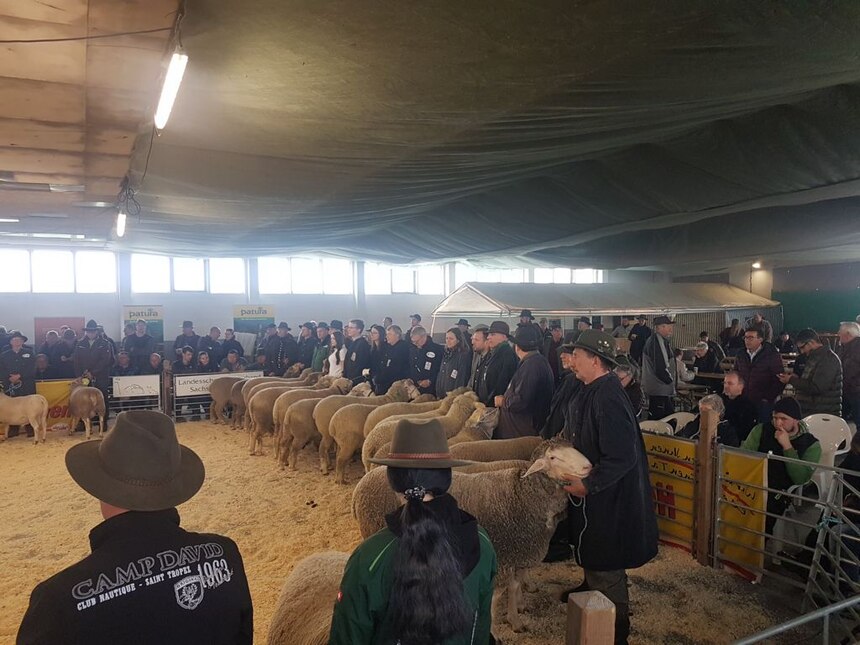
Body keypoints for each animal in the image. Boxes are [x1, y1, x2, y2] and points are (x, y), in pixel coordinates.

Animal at [352, 438, 596, 628]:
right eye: (553, 458)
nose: (588, 467)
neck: (522, 495)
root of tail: (362, 484)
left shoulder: (518, 553)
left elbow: (514, 587)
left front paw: (516, 618)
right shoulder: (503, 554)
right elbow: (497, 596)